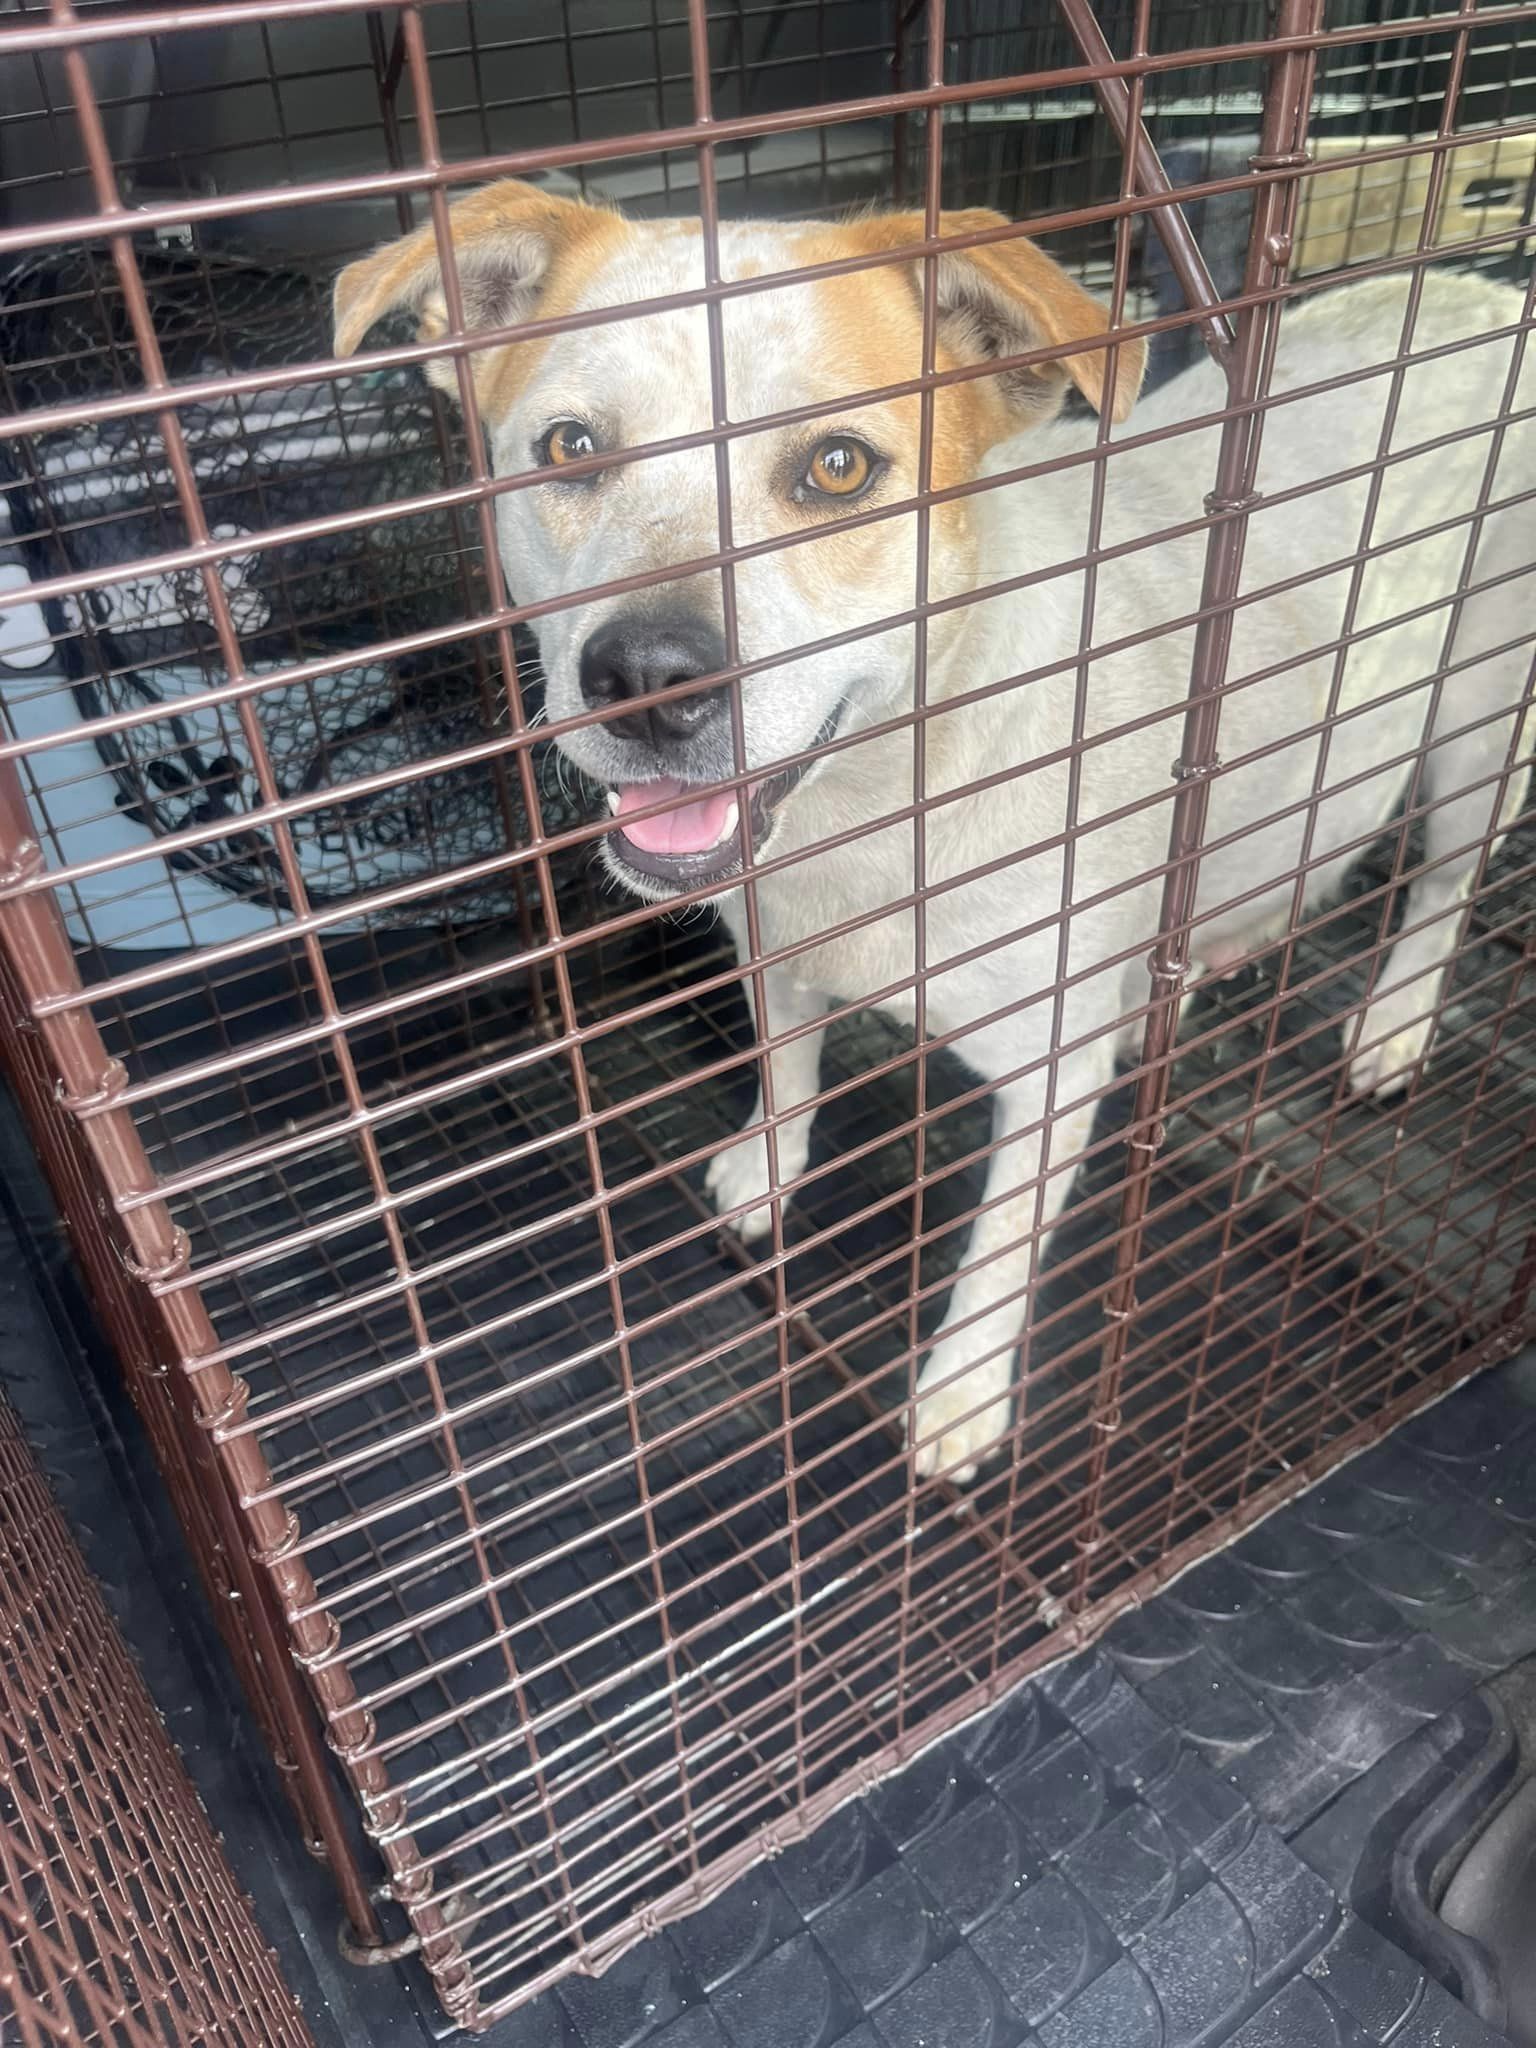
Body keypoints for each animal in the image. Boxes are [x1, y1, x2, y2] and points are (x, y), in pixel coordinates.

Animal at [335, 184, 1536, 1482]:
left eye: (838, 466)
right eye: (570, 447)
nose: (647, 678)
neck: (877, 811)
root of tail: (1489, 290)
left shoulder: (1049, 1071)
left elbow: (1001, 1246)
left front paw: (962, 1393)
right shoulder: (776, 943)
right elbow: (787, 1067)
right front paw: (765, 1168)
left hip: (1479, 733)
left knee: (1442, 890)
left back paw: (1392, 1022)